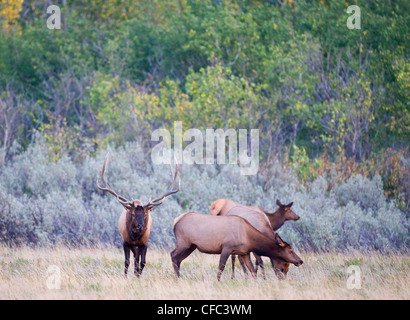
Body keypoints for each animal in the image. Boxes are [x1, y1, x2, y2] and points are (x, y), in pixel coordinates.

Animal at [170, 212, 302, 280]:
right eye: (291, 250)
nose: (300, 261)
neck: (248, 238)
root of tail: (175, 221)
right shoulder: (226, 247)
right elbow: (221, 267)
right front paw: (218, 282)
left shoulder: (244, 252)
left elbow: (252, 270)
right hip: (183, 242)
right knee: (173, 255)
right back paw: (177, 278)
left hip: (191, 246)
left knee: (178, 259)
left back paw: (178, 277)